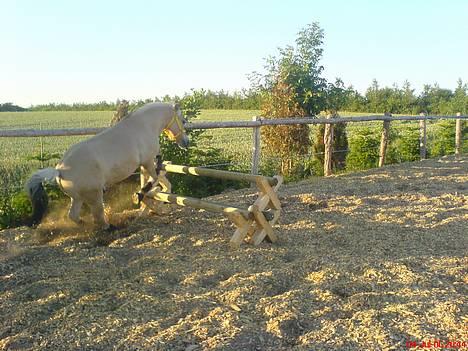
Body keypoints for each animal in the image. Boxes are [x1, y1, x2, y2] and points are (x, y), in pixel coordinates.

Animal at [25, 102, 188, 231]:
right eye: (184, 121)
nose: (186, 142)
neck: (144, 125)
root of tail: (59, 170)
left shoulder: (147, 163)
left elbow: (159, 178)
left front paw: (156, 197)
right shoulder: (147, 161)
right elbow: (154, 180)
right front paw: (141, 195)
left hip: (78, 198)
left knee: (74, 216)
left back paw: (86, 225)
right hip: (95, 195)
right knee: (98, 216)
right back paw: (110, 227)